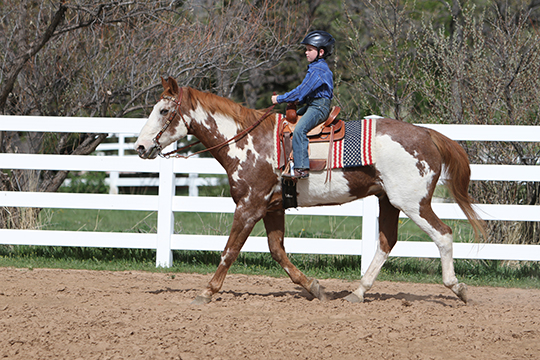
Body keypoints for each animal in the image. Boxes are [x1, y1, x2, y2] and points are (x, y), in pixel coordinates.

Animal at [135, 77, 486, 306]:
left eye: (163, 111)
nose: (140, 146)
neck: (247, 141)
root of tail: (428, 134)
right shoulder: (272, 208)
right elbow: (277, 251)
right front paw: (315, 288)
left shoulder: (249, 207)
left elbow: (230, 250)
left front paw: (207, 291)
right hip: (389, 201)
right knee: (387, 242)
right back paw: (357, 292)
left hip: (413, 203)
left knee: (443, 234)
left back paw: (459, 289)